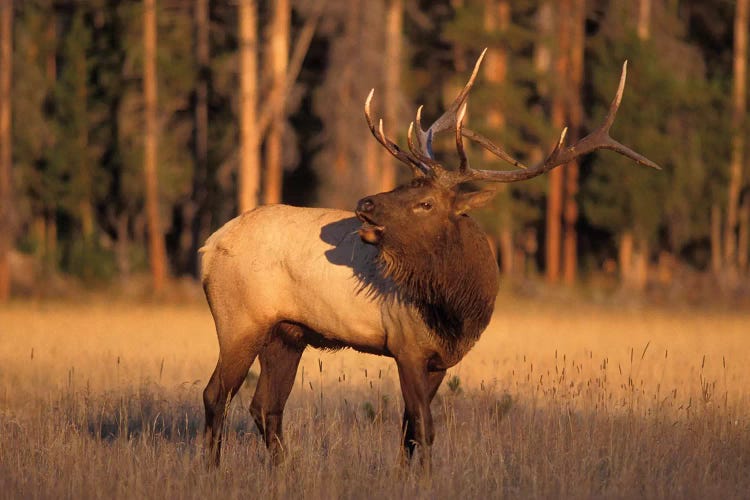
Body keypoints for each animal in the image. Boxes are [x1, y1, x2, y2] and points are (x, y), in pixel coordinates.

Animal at [200, 48, 656, 466]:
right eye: (406, 184)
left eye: (424, 202)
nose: (364, 203)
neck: (457, 309)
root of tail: (208, 247)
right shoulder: (406, 345)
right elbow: (424, 426)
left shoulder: (441, 360)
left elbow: (409, 430)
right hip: (239, 320)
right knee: (216, 393)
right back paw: (213, 467)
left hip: (287, 333)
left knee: (265, 406)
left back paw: (283, 469)